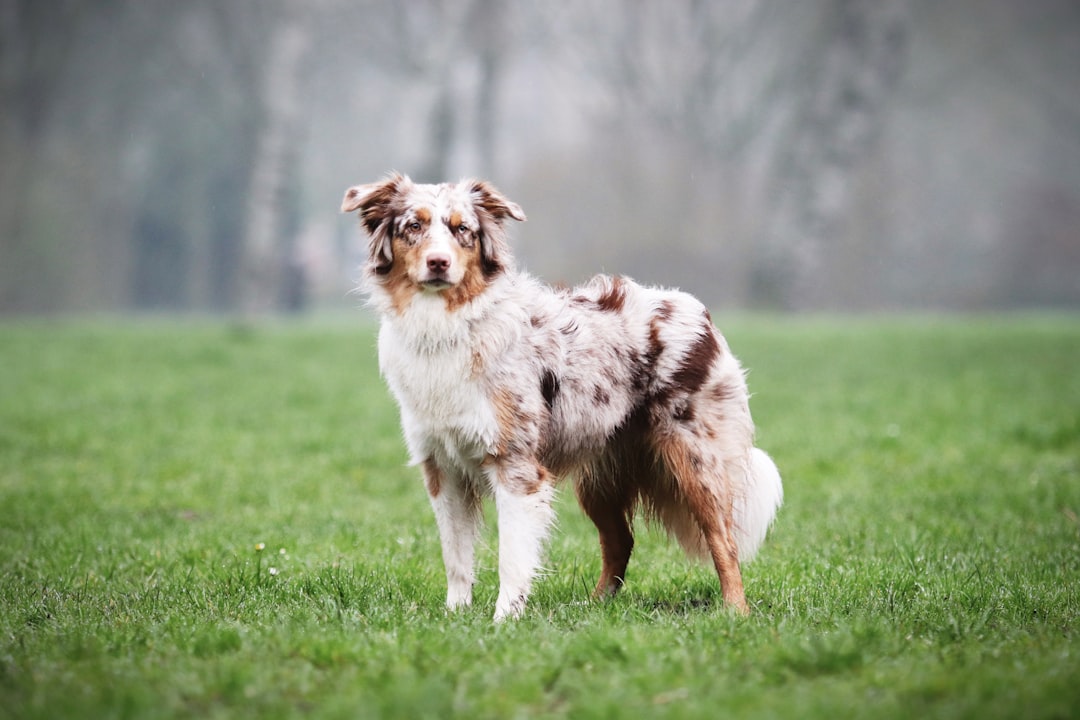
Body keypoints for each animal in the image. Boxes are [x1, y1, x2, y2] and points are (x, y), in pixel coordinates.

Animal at [341, 172, 781, 621]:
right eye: (413, 226)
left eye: (462, 230)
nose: (438, 262)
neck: (448, 325)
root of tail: (697, 310)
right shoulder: (443, 468)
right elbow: (456, 557)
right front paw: (455, 616)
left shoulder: (516, 466)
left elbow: (511, 557)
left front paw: (504, 620)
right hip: (600, 475)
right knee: (620, 540)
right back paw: (594, 606)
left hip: (696, 461)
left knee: (723, 539)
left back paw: (735, 612)